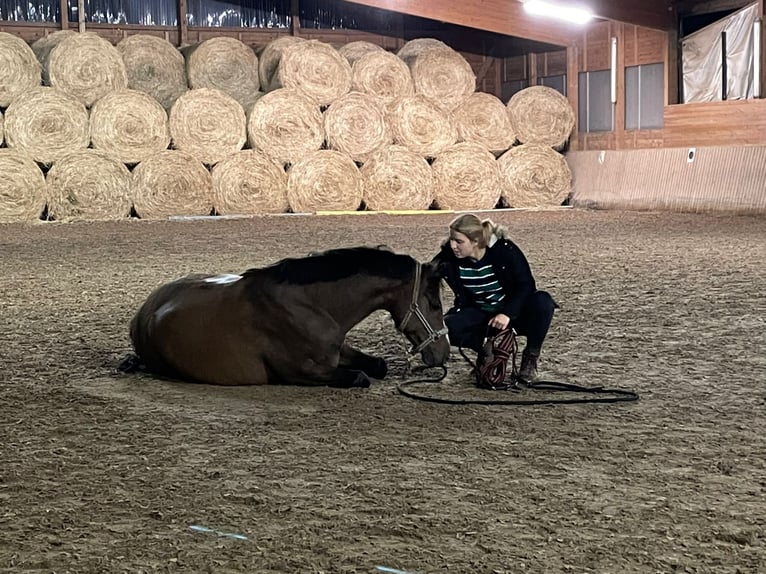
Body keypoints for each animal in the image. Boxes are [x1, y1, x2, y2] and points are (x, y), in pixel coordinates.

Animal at [121, 245, 450, 390]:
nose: (443, 354)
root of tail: (143, 313)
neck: (311, 305)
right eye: (434, 303)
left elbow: (378, 365)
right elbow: (360, 376)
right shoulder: (303, 373)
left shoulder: (339, 350)